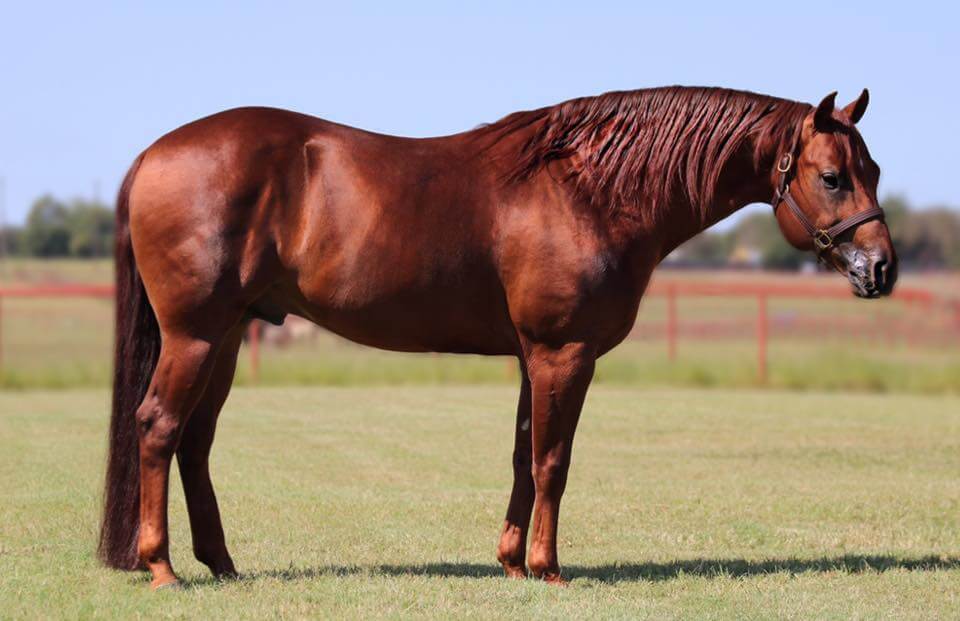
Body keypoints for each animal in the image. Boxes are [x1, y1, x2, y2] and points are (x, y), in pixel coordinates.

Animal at [98, 86, 897, 588]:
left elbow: (521, 455)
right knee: (158, 427)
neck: (589, 188)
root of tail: (153, 154)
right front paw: (548, 568)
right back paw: (162, 566)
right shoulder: (563, 354)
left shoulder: (530, 357)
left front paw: (512, 561)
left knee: (195, 442)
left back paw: (222, 562)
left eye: (875, 168)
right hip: (195, 336)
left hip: (228, 337)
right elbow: (552, 461)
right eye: (832, 176)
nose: (881, 268)